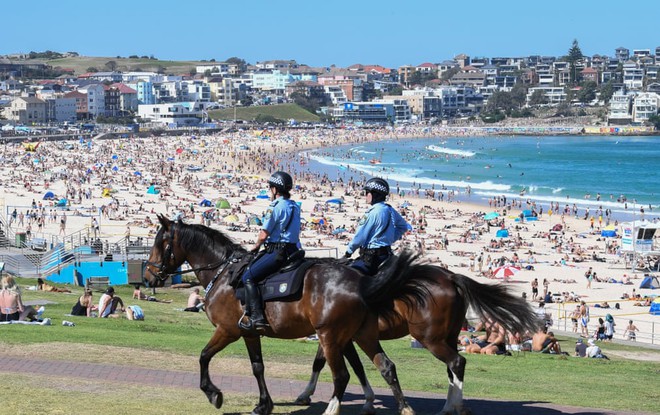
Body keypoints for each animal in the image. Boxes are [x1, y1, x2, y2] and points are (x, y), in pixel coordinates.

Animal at [144, 216, 434, 414]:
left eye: (160, 243)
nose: (148, 277)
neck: (224, 274)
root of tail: (360, 282)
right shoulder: (249, 333)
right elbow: (257, 367)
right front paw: (264, 405)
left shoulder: (227, 330)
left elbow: (204, 356)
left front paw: (213, 394)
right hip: (362, 335)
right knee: (385, 366)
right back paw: (404, 408)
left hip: (331, 338)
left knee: (342, 375)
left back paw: (333, 408)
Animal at [296, 258, 540, 414]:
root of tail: (450, 276)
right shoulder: (345, 337)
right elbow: (348, 365)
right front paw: (366, 400)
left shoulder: (339, 337)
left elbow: (331, 364)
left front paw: (306, 394)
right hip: (448, 337)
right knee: (453, 367)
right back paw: (452, 405)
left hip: (430, 339)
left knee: (456, 362)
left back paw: (451, 407)